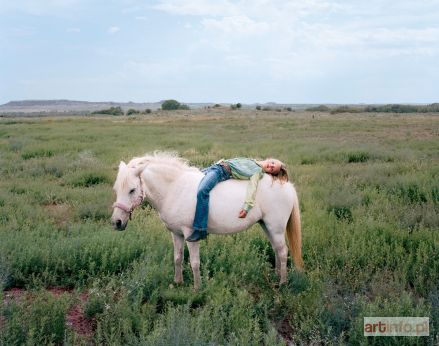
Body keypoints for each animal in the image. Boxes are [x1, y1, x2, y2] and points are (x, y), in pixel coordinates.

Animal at [111, 153, 302, 288]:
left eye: (132, 190)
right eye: (116, 189)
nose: (116, 222)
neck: (174, 188)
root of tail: (287, 186)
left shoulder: (190, 234)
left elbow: (195, 262)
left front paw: (197, 288)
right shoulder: (176, 234)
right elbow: (178, 258)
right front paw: (178, 282)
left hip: (275, 227)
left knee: (283, 252)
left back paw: (282, 283)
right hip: (266, 226)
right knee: (277, 250)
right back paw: (276, 276)